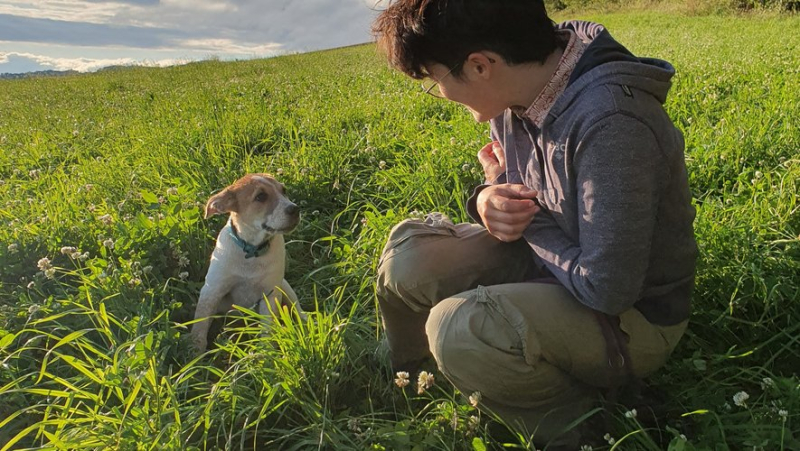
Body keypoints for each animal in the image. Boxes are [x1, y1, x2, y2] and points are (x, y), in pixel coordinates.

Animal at [191, 175, 306, 352]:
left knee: (297, 309)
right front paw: (194, 354)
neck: (252, 251)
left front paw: (265, 354)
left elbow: (267, 330)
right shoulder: (211, 291)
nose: (295, 209)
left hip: (285, 287)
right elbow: (199, 326)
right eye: (261, 196)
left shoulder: (270, 294)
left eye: (284, 190)